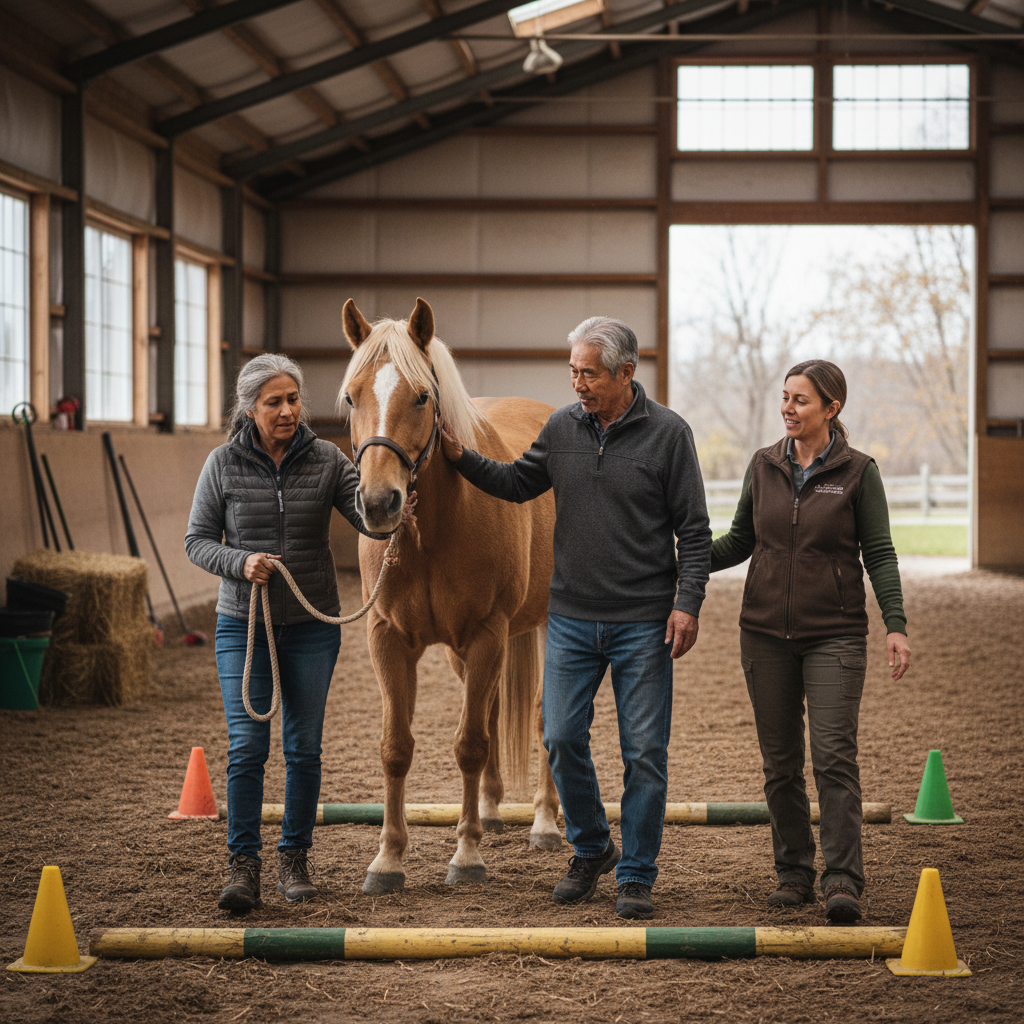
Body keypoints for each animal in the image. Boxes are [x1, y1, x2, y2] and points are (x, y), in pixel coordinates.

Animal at [340, 296, 561, 894]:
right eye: (351, 396)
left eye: (422, 396)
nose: (379, 503)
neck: (434, 531)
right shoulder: (389, 638)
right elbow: (397, 747)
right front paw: (388, 859)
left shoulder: (488, 634)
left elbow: (469, 745)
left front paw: (466, 855)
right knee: (489, 708)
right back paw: (490, 810)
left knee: (542, 718)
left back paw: (545, 822)